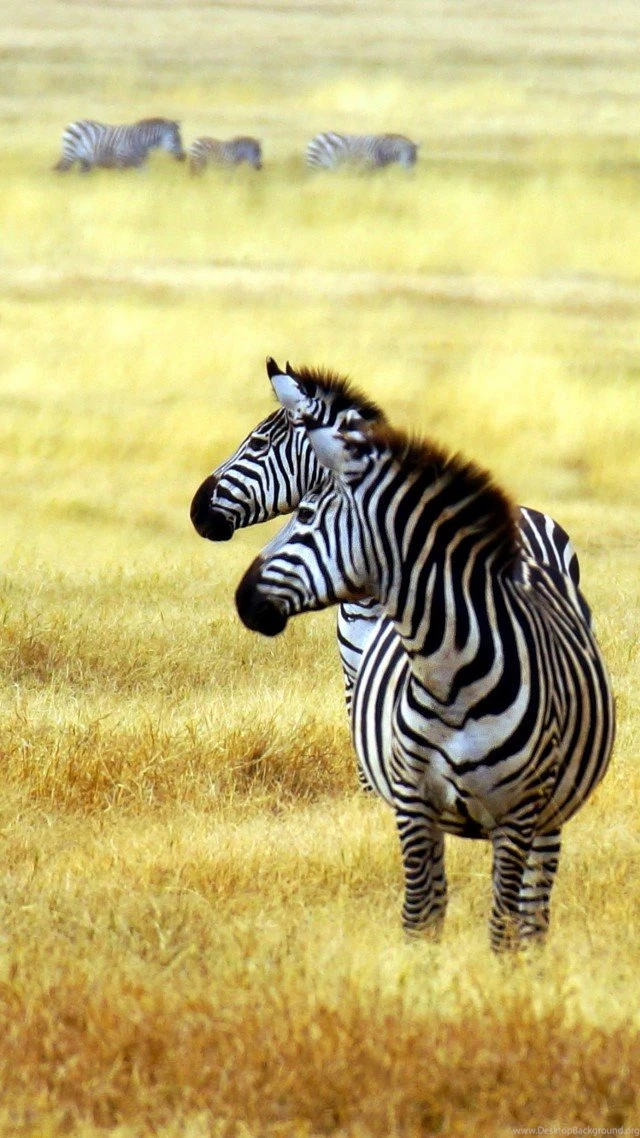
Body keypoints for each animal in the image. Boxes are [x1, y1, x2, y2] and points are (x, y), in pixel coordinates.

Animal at [53, 118, 185, 172]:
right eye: (176, 139)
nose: (183, 158)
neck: (140, 141)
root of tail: (72, 123)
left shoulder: (140, 165)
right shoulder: (121, 161)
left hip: (84, 160)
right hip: (70, 153)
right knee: (63, 170)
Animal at [234, 370, 615, 951]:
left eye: (257, 443)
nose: (242, 599)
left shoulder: (514, 814)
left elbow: (499, 924)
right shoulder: (394, 762)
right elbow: (419, 911)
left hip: (549, 812)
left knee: (532, 909)